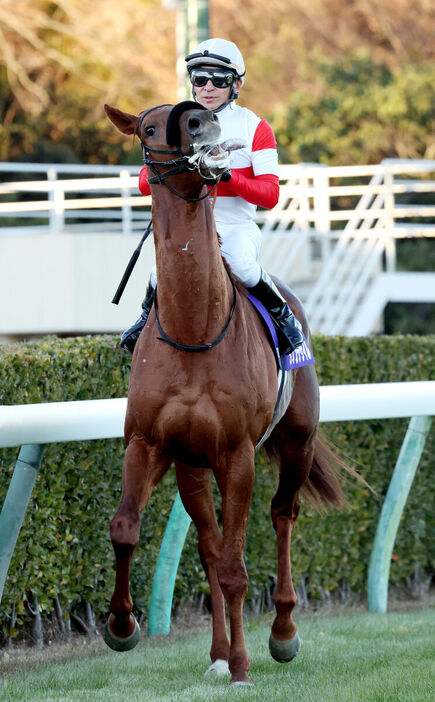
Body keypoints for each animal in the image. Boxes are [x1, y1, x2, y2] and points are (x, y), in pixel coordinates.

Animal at [104, 102, 354, 692]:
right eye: (150, 127)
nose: (199, 120)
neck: (193, 328)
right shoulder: (148, 443)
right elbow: (126, 529)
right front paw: (122, 626)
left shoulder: (237, 455)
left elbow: (238, 567)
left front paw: (243, 666)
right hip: (191, 467)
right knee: (209, 545)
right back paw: (217, 653)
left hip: (296, 442)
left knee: (283, 515)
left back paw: (280, 634)